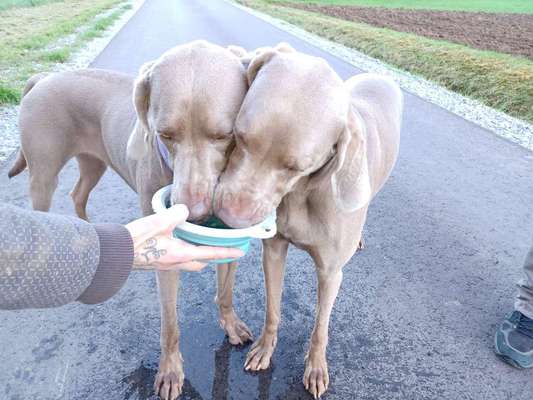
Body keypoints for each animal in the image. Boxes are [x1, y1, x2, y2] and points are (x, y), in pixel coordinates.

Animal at [8, 40, 252, 400]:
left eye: (225, 135)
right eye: (165, 134)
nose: (195, 212)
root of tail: (42, 78)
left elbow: (226, 291)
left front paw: (231, 324)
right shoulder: (166, 256)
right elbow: (170, 322)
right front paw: (170, 371)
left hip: (93, 161)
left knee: (78, 194)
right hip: (44, 172)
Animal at [213, 44, 404, 400]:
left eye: (296, 167)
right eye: (239, 136)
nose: (230, 218)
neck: (301, 194)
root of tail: (381, 76)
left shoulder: (331, 273)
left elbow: (320, 328)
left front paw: (315, 369)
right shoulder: (273, 251)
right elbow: (273, 309)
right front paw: (265, 349)